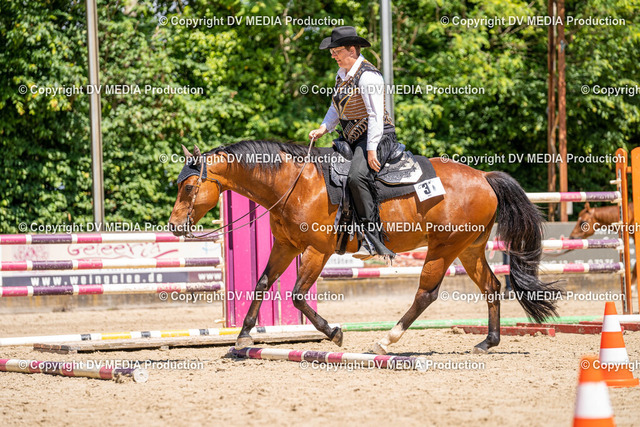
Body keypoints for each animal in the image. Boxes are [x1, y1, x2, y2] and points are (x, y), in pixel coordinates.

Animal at [168, 140, 560, 354]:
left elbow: (297, 295)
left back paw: (386, 341)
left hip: (444, 248)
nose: (173, 226)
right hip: (469, 249)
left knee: (426, 294)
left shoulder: (317, 251)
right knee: (492, 286)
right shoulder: (286, 246)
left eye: (188, 187)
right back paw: (488, 342)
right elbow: (263, 283)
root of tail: (485, 177)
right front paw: (243, 335)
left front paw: (335, 333)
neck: (295, 183)